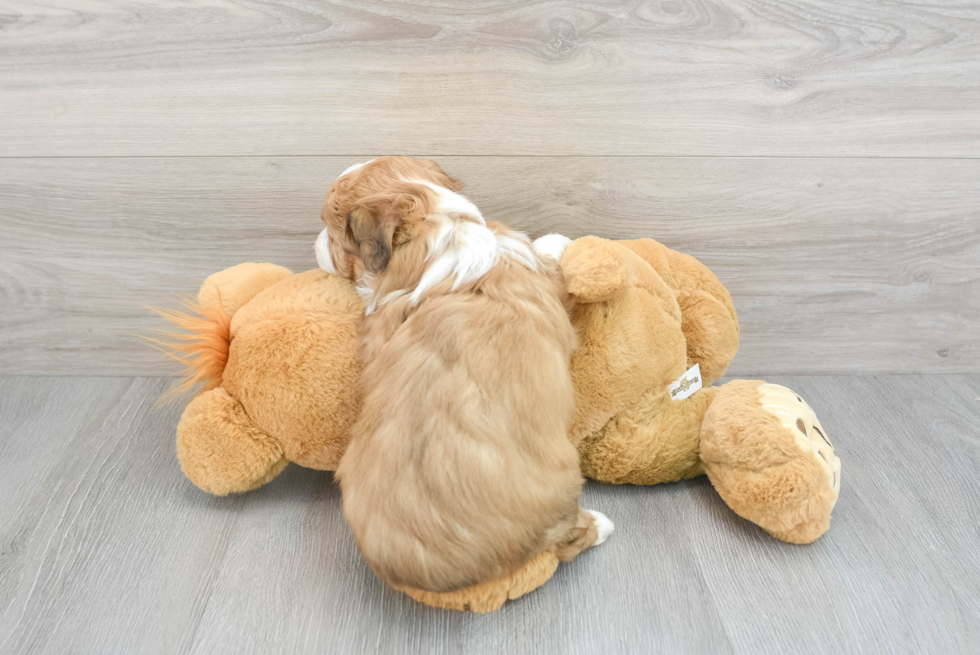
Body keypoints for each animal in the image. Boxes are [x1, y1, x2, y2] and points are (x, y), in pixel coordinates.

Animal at [316, 158, 612, 596]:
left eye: (332, 235)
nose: (317, 241)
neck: (441, 227)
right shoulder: (541, 272)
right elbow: (549, 256)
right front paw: (558, 237)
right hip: (564, 488)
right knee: (570, 539)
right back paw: (602, 524)